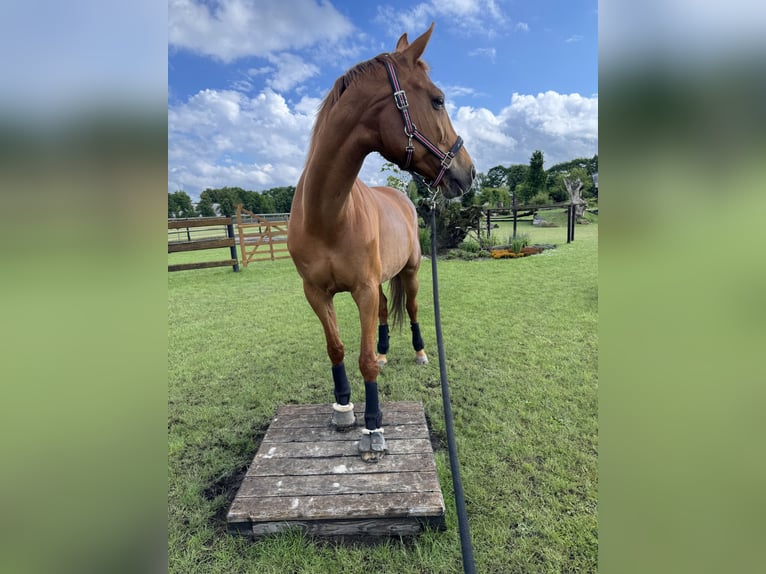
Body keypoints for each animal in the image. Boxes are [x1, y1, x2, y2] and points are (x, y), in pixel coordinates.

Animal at [287, 23, 475, 462]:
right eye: (438, 100)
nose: (469, 172)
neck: (326, 216)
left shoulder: (363, 290)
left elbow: (365, 359)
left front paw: (373, 428)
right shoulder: (317, 293)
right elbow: (338, 349)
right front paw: (343, 408)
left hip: (412, 273)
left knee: (414, 309)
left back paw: (421, 352)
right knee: (389, 310)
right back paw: (389, 351)